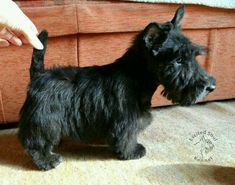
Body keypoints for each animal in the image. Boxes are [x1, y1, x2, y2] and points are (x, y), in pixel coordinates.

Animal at [18, 5, 215, 171]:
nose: (211, 86)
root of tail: (39, 75)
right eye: (178, 60)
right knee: (35, 143)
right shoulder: (126, 120)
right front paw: (132, 151)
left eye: (194, 55)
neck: (135, 75)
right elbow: (127, 136)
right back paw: (47, 160)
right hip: (45, 119)